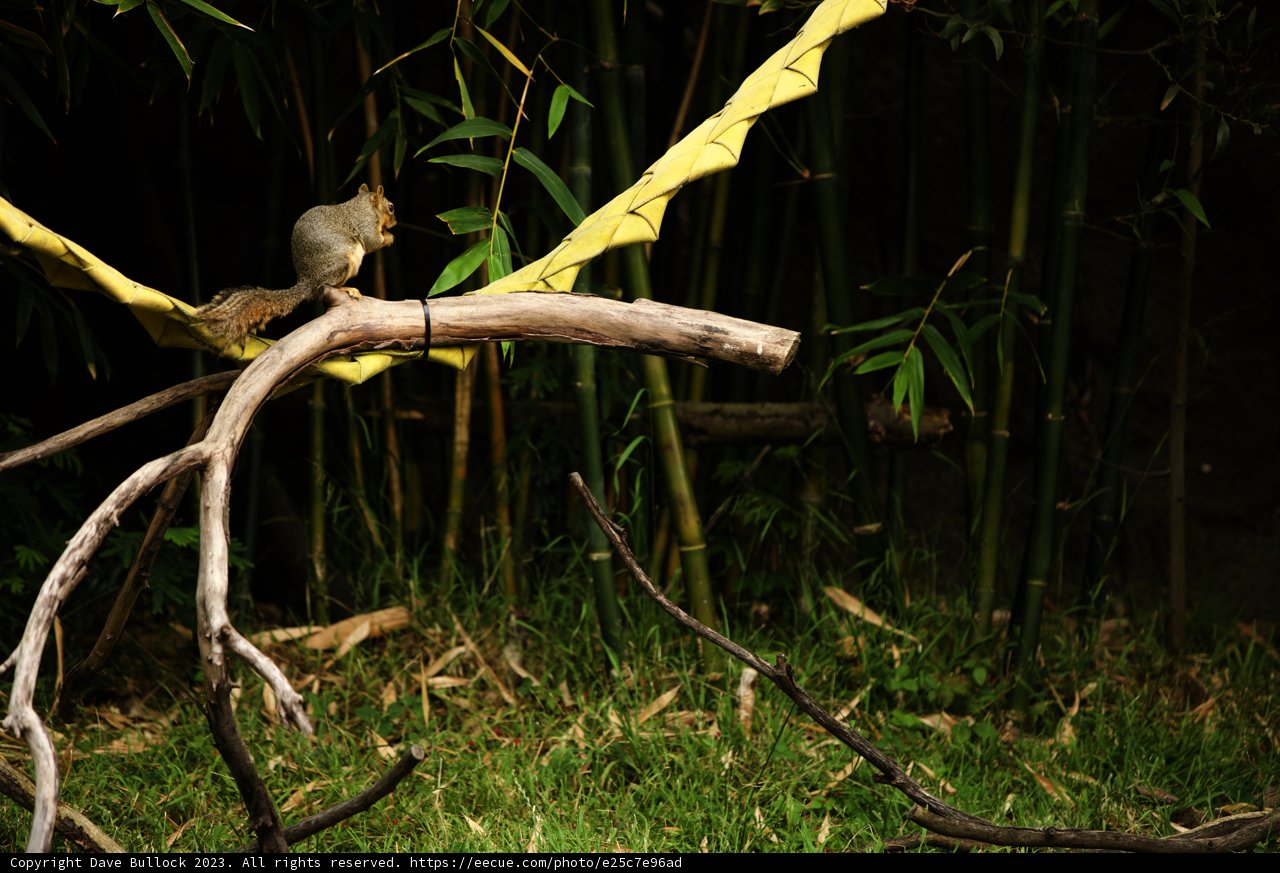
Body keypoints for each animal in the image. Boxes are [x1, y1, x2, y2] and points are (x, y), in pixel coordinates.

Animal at [196, 183, 396, 342]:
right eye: (391, 207)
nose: (395, 223)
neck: (364, 205)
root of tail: (307, 282)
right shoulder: (366, 225)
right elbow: (372, 242)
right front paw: (389, 238)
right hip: (344, 262)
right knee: (329, 285)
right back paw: (347, 289)